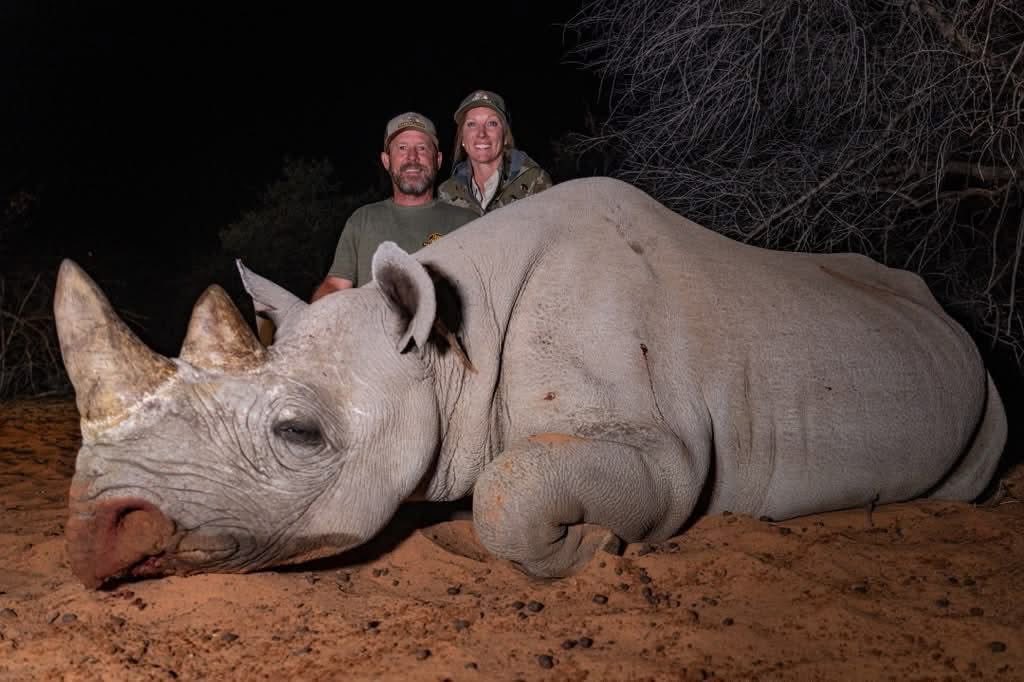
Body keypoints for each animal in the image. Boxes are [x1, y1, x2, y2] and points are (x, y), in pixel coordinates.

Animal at [54, 177, 1007, 589]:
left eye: (299, 434)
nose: (94, 534)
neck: (449, 350)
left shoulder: (661, 451)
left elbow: (510, 490)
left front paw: (588, 546)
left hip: (983, 385)